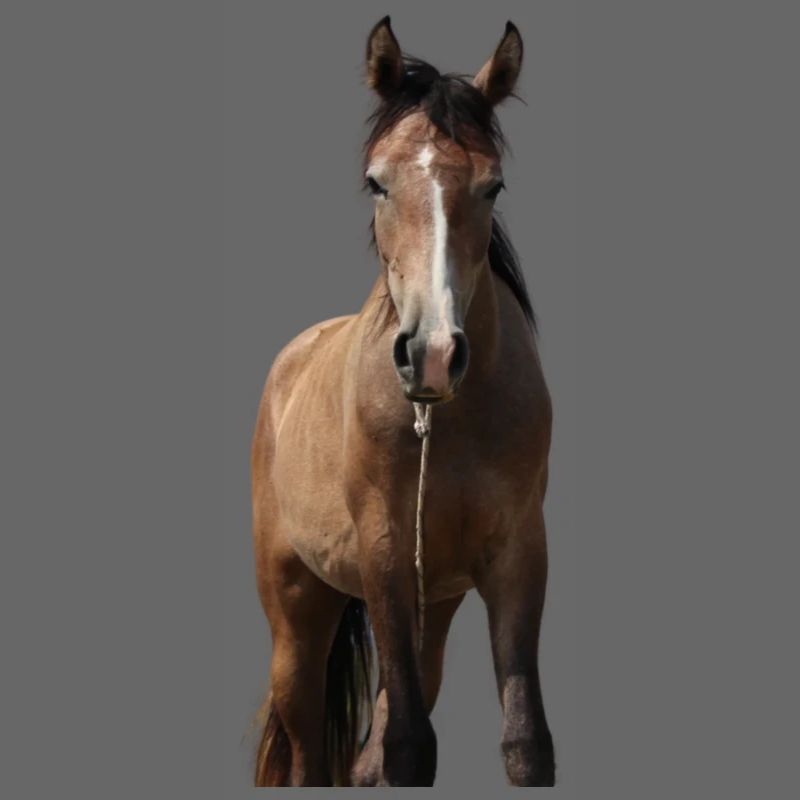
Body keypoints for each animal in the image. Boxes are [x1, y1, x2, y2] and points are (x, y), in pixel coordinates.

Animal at [250, 17, 555, 787]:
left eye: (493, 185)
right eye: (375, 182)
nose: (433, 353)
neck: (449, 422)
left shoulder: (518, 555)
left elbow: (524, 742)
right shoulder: (383, 554)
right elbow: (411, 746)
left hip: (434, 607)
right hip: (297, 615)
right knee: (308, 755)